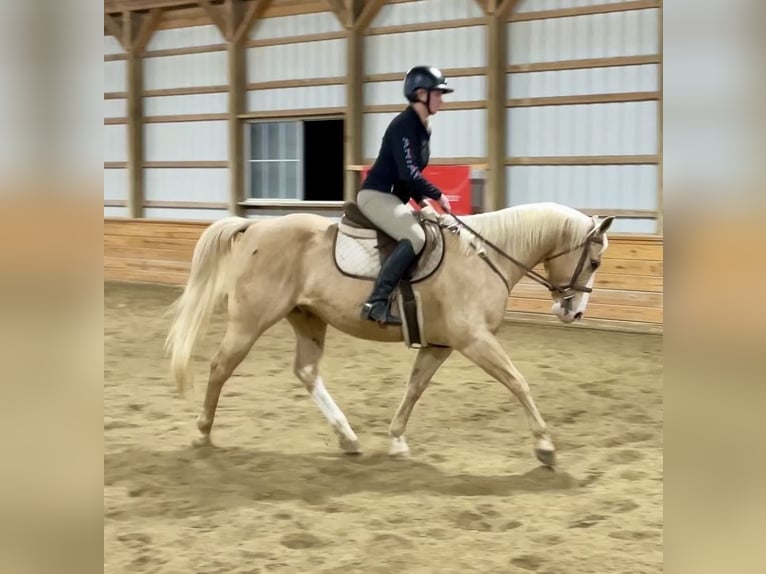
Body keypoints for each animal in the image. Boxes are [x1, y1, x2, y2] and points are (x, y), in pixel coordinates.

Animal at [164, 201, 614, 467]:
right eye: (593, 261)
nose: (573, 311)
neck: (482, 257)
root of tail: (255, 227)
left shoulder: (441, 345)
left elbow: (415, 387)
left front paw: (396, 439)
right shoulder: (474, 340)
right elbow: (518, 381)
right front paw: (545, 446)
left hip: (307, 318)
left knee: (306, 372)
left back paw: (347, 438)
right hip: (252, 320)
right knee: (221, 366)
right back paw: (203, 433)